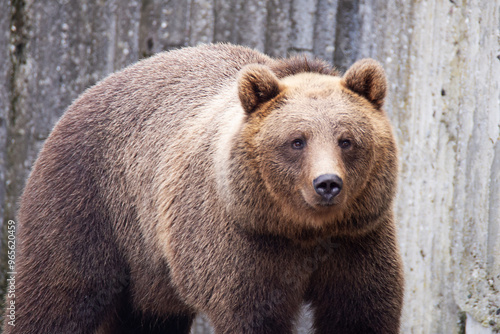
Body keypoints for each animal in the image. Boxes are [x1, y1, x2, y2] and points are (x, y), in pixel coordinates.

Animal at [2, 44, 402, 334]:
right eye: (296, 141)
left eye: (346, 140)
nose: (327, 184)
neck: (302, 231)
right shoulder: (242, 245)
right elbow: (252, 314)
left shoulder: (357, 240)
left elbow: (361, 311)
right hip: (88, 203)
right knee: (58, 294)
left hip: (150, 268)